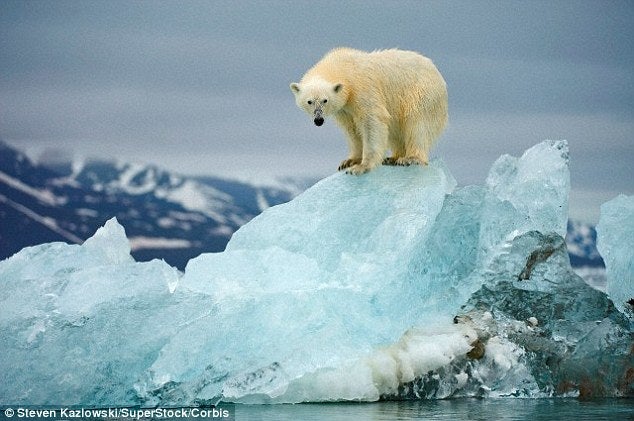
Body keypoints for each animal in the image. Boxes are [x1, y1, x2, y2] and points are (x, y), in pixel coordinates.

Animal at [288, 47, 446, 174]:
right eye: (309, 101)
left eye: (325, 100)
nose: (318, 120)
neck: (342, 67)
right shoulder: (344, 109)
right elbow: (352, 130)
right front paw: (349, 161)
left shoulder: (362, 88)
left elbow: (372, 121)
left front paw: (362, 166)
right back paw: (393, 158)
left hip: (422, 93)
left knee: (418, 124)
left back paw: (410, 158)